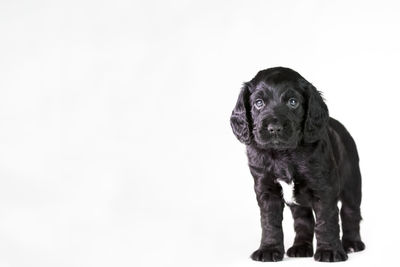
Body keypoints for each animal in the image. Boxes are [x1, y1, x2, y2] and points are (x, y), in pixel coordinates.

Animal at [230, 68, 364, 262]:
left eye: (293, 102)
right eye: (258, 103)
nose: (274, 128)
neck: (283, 154)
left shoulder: (323, 186)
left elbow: (326, 219)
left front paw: (329, 251)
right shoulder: (266, 187)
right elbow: (269, 222)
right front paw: (269, 249)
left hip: (352, 182)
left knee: (350, 212)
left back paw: (353, 243)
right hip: (299, 202)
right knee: (303, 221)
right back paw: (301, 247)